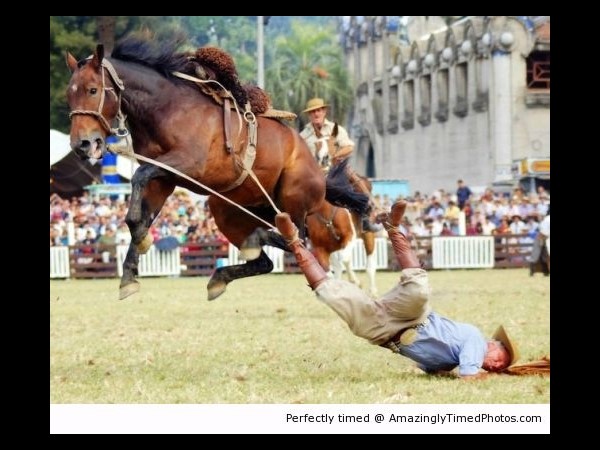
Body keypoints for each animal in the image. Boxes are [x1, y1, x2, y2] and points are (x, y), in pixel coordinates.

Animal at [65, 37, 366, 300]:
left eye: (92, 90)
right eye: (69, 94)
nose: (82, 143)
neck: (167, 109)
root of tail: (321, 176)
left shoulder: (187, 165)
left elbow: (139, 177)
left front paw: (141, 242)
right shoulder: (163, 179)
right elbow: (137, 215)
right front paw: (130, 271)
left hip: (292, 202)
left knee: (297, 240)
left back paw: (259, 240)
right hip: (227, 209)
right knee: (267, 260)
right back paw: (223, 274)